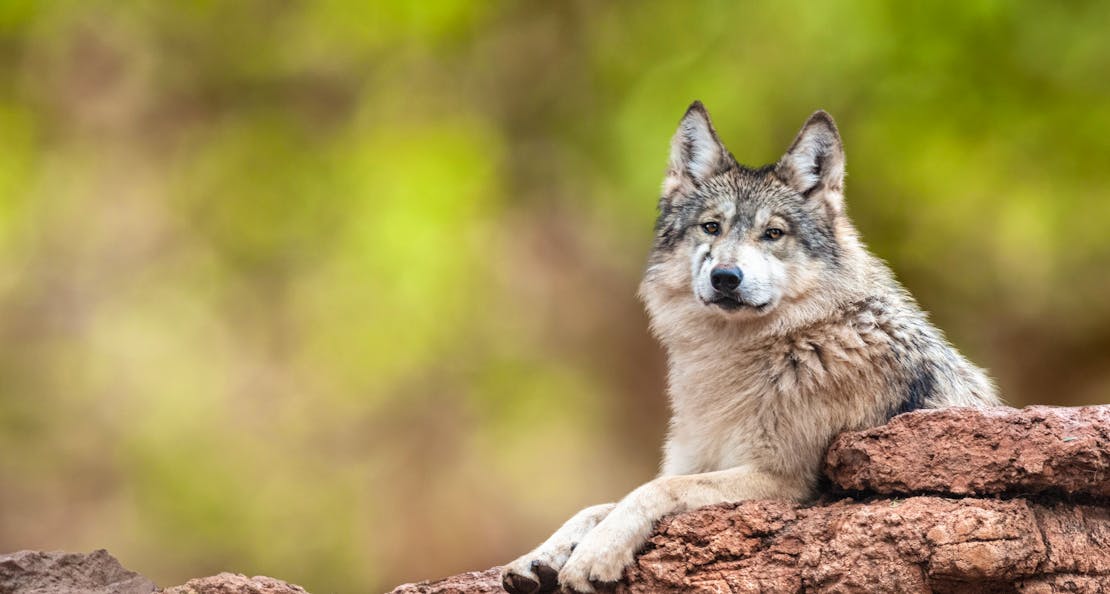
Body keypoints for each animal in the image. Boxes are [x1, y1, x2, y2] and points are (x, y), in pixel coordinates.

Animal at [501, 103, 999, 594]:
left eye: (773, 233)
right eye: (711, 227)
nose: (725, 277)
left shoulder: (781, 481)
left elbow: (653, 491)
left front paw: (594, 556)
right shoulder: (696, 461)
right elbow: (599, 505)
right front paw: (535, 558)